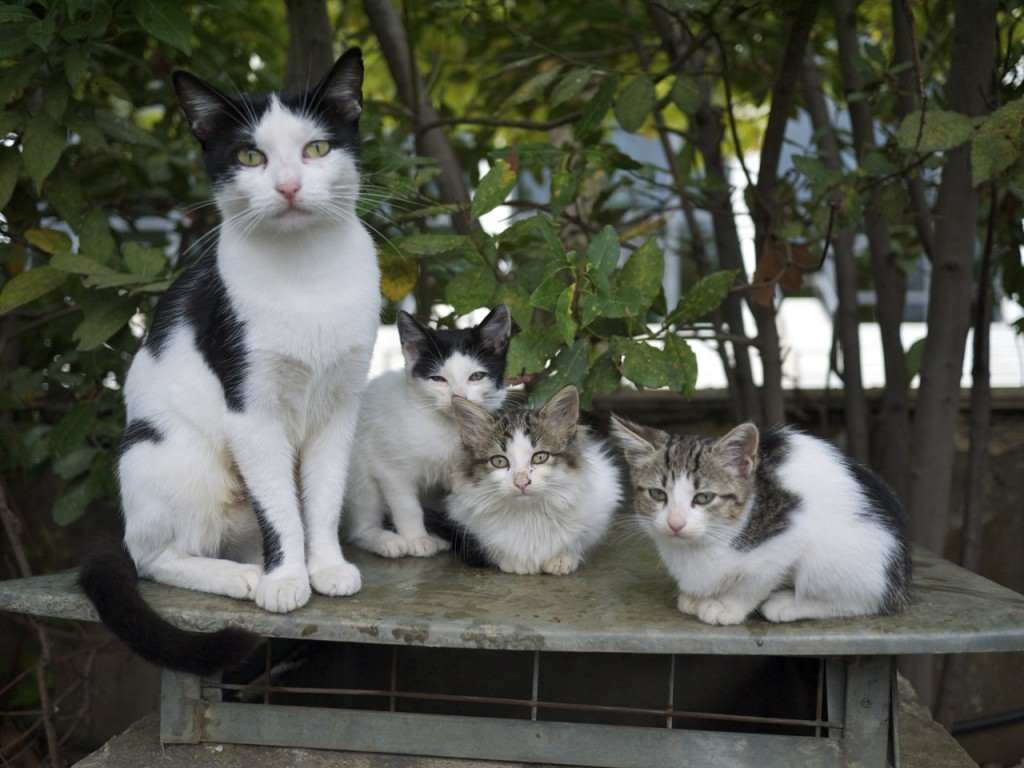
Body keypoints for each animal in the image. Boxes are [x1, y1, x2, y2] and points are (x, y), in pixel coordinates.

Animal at [76, 48, 380, 671]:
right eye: (249, 156)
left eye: (317, 149)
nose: (288, 186)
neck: (307, 274)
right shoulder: (251, 412)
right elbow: (280, 507)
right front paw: (285, 580)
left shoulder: (340, 407)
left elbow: (321, 497)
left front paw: (327, 566)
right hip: (166, 453)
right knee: (152, 557)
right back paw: (241, 576)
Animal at [346, 305, 509, 561]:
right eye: (438, 379)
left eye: (476, 376)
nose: (458, 396)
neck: (447, 427)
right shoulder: (389, 469)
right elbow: (407, 506)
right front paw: (417, 540)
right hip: (357, 469)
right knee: (360, 525)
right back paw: (385, 540)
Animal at [442, 387, 622, 573]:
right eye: (499, 461)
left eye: (540, 457)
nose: (521, 482)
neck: (528, 514)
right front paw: (515, 561)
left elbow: (579, 539)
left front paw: (563, 558)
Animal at [606, 421, 913, 626]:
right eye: (658, 494)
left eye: (704, 497)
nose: (675, 523)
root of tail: (901, 583)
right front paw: (693, 596)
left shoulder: (789, 535)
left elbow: (756, 580)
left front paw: (726, 606)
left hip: (837, 556)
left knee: (862, 600)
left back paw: (788, 604)